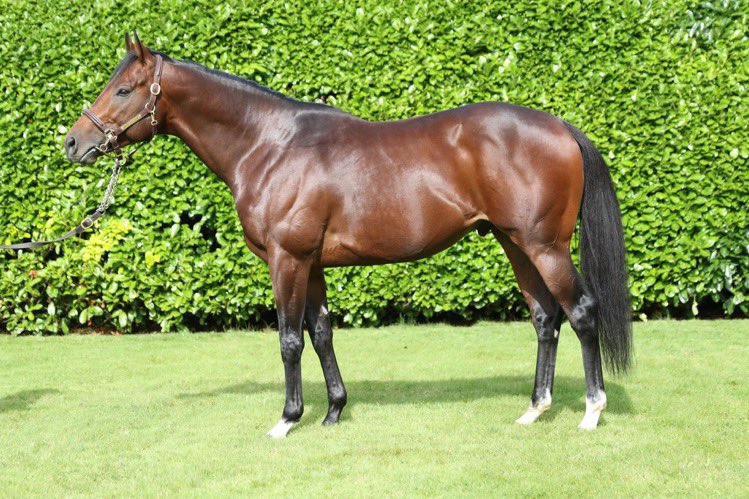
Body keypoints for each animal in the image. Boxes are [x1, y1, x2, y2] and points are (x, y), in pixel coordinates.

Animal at [64, 33, 632, 437]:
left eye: (123, 89)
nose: (73, 142)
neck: (270, 146)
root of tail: (560, 127)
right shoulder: (311, 263)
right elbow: (321, 334)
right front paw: (333, 411)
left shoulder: (287, 259)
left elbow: (290, 340)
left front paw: (286, 419)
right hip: (514, 243)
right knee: (545, 318)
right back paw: (535, 410)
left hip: (544, 246)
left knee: (582, 312)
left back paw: (591, 412)